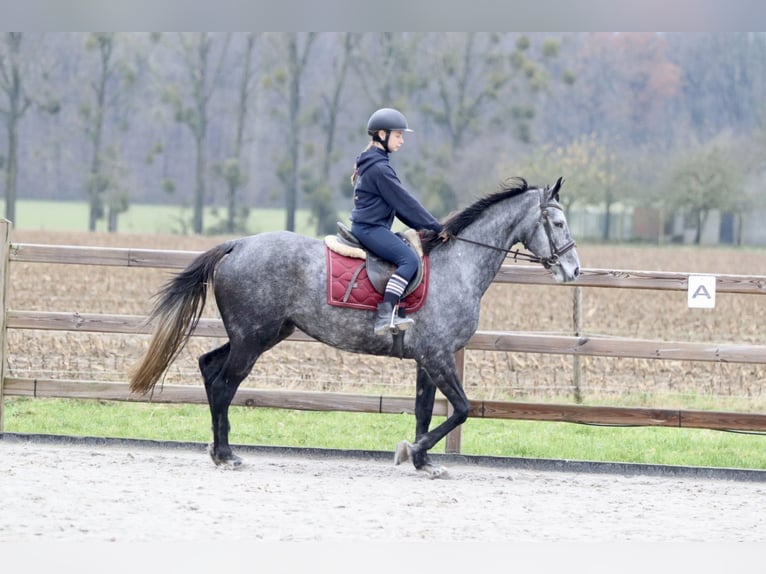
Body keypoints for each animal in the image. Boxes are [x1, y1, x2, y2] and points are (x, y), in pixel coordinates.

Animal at [129, 178, 584, 480]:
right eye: (559, 223)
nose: (573, 270)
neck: (458, 267)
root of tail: (237, 244)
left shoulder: (427, 359)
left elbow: (426, 409)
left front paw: (423, 461)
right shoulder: (438, 356)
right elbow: (461, 409)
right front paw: (411, 451)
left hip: (259, 335)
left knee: (209, 369)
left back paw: (217, 448)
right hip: (253, 339)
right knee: (224, 384)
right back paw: (226, 455)